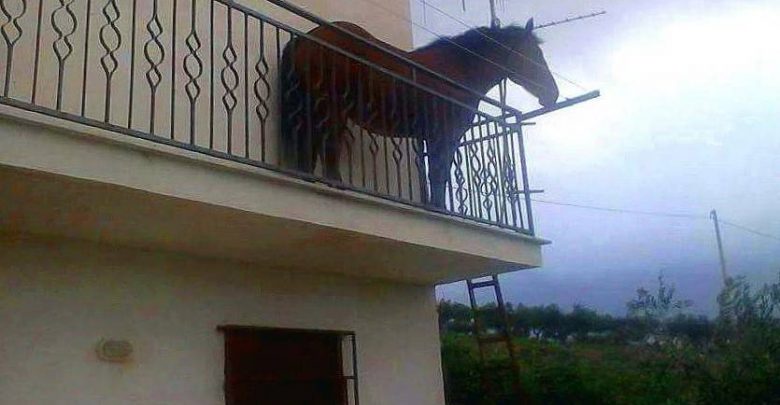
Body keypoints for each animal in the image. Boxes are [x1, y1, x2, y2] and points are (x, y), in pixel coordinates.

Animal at [280, 18, 560, 208]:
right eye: (534, 54)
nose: (552, 94)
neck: (458, 71)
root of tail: (306, 38)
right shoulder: (445, 136)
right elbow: (439, 174)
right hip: (332, 112)